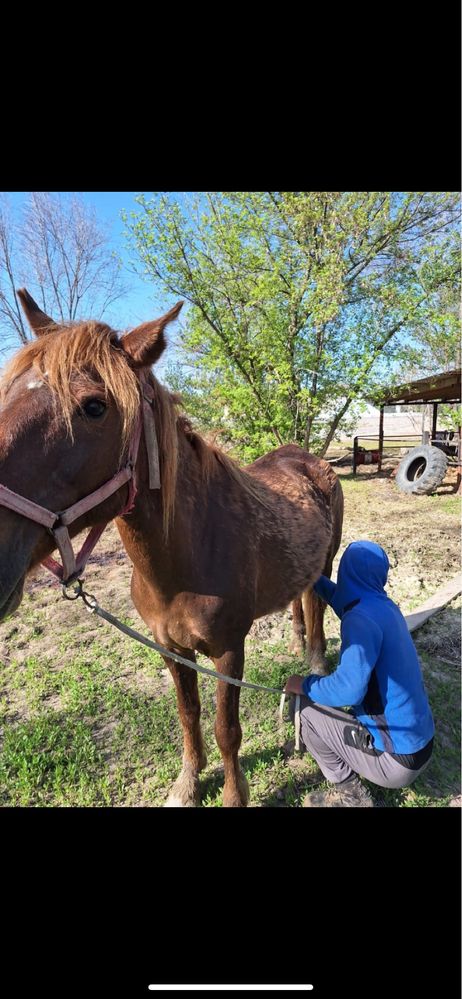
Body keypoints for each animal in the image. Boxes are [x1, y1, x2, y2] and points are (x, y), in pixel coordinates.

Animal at [0, 292, 342, 808]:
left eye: (95, 407)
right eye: (7, 393)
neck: (185, 561)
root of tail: (307, 459)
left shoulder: (228, 650)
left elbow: (226, 729)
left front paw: (233, 795)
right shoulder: (169, 647)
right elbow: (188, 715)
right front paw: (187, 784)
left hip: (327, 561)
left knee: (318, 602)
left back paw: (317, 659)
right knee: (300, 600)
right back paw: (298, 642)